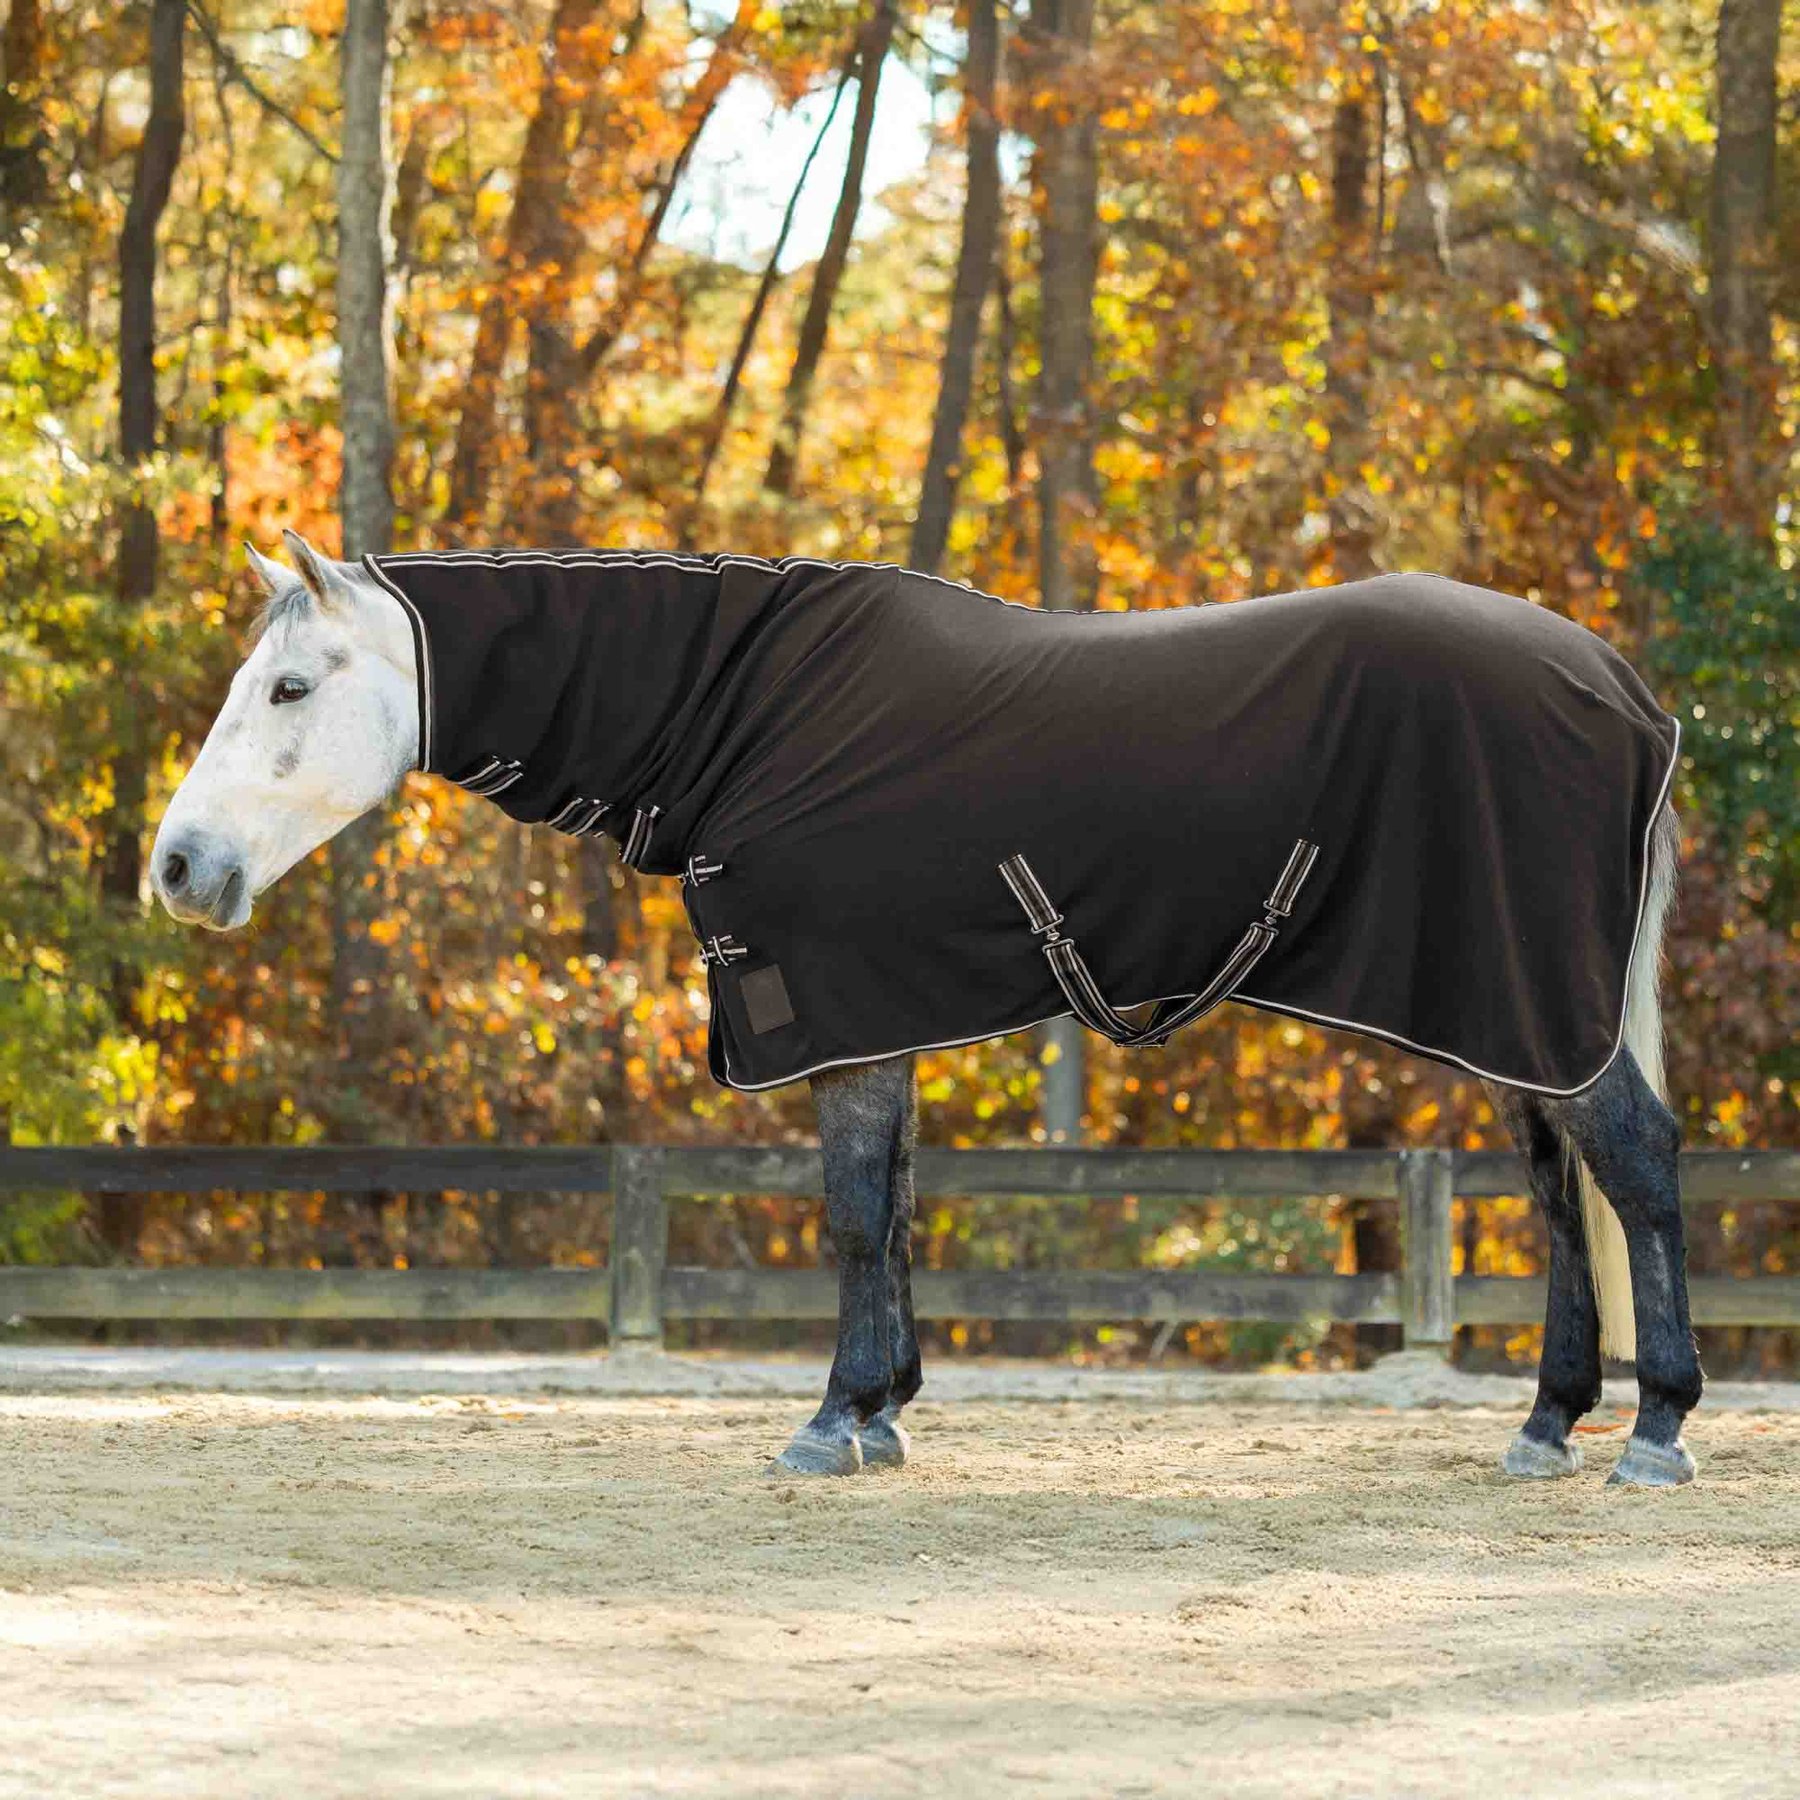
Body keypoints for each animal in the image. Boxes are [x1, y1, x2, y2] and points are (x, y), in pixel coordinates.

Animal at [151, 530, 1701, 1485]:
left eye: (288, 686)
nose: (176, 867)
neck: (748, 713)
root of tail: (1624, 690)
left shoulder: (834, 1012)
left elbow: (849, 1216)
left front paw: (832, 1421)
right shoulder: (882, 1018)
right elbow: (891, 1211)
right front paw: (884, 1410)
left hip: (1531, 1005)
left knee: (1634, 1165)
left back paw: (1658, 1427)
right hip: (1510, 1015)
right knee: (1560, 1196)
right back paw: (1548, 1422)